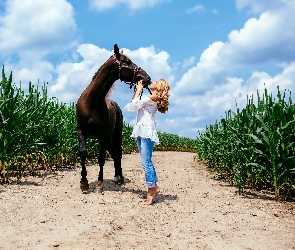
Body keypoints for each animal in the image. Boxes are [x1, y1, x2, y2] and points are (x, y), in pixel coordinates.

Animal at [76, 44, 151, 192]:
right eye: (127, 61)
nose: (147, 78)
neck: (91, 103)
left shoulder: (102, 136)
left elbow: (101, 159)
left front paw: (99, 184)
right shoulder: (81, 132)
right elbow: (83, 153)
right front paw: (84, 182)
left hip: (116, 134)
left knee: (118, 153)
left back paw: (120, 177)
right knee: (114, 153)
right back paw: (116, 177)